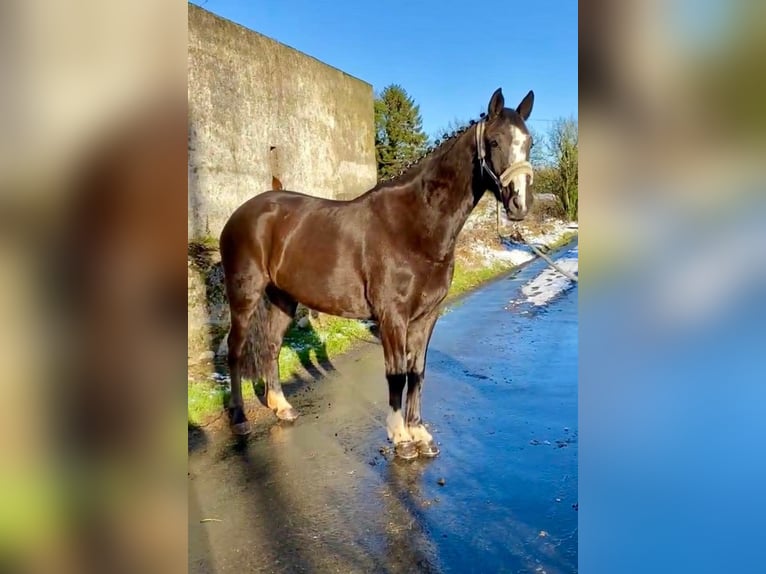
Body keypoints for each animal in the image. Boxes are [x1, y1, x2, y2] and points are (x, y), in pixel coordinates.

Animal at [219, 88, 536, 462]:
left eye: (529, 142)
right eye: (495, 140)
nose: (520, 204)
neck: (413, 225)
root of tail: (243, 212)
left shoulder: (426, 317)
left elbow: (417, 372)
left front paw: (420, 434)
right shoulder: (392, 317)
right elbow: (396, 375)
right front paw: (401, 439)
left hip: (283, 299)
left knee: (270, 346)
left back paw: (282, 408)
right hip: (245, 295)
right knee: (235, 349)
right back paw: (240, 419)